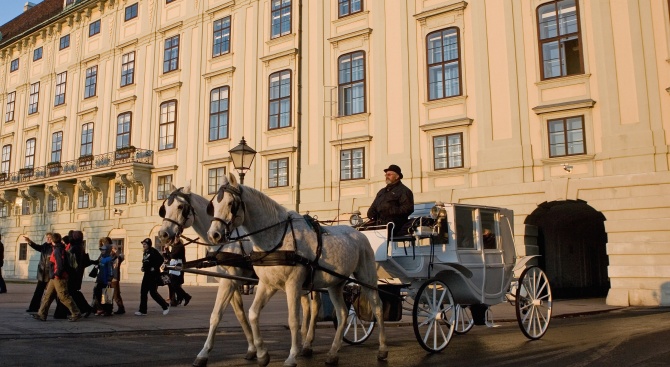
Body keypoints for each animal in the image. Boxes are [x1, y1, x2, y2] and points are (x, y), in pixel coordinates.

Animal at [160, 188, 322, 366]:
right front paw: (253, 349)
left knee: (315, 305)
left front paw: (204, 353)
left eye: (180, 207)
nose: (163, 234)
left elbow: (216, 315)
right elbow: (240, 315)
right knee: (306, 305)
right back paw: (303, 340)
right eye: (165, 208)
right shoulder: (229, 280)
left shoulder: (230, 279)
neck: (228, 243)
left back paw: (307, 344)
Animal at [209, 174, 388, 366]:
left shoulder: (293, 284)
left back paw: (382, 349)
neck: (277, 237)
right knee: (342, 313)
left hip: (366, 277)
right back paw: (333, 353)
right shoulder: (267, 284)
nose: (214, 235)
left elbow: (294, 320)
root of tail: (358, 231)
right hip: (336, 283)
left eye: (230, 204)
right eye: (213, 206)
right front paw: (262, 354)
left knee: (377, 307)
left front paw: (292, 356)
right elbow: (253, 314)